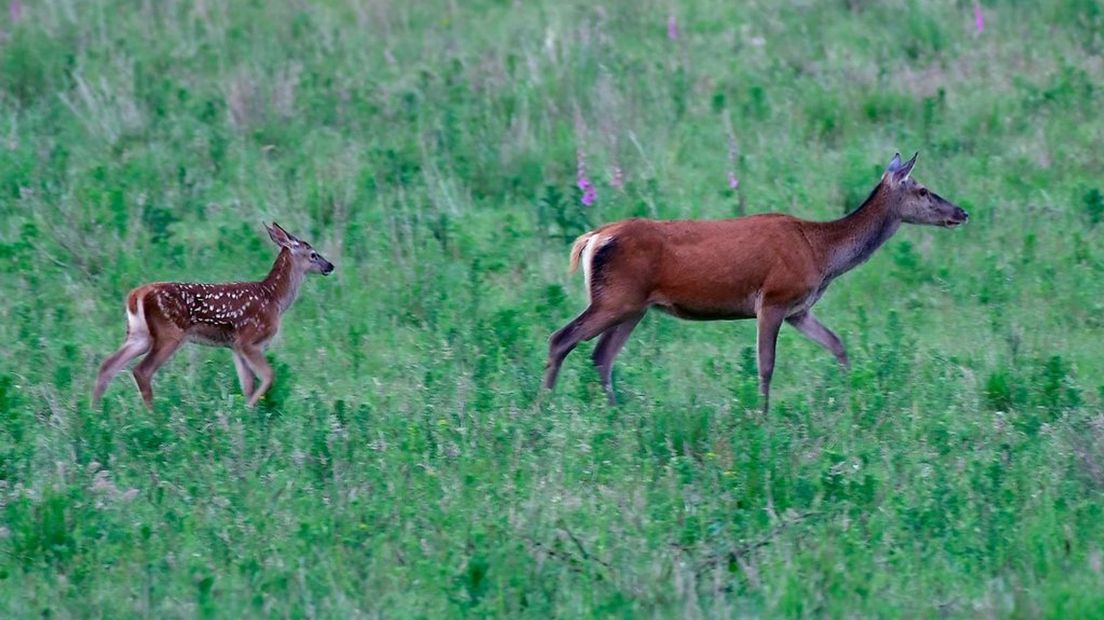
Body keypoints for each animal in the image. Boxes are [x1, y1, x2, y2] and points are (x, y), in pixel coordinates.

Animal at [92, 220, 333, 405]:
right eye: (313, 254)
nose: (330, 266)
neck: (274, 298)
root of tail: (136, 295)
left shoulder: (235, 346)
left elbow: (247, 384)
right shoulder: (249, 339)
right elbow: (268, 376)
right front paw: (251, 410)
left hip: (139, 334)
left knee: (107, 364)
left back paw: (95, 413)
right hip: (169, 333)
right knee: (142, 371)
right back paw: (153, 418)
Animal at [543, 152, 967, 408]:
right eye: (923, 189)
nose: (961, 212)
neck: (822, 252)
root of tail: (592, 238)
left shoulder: (799, 309)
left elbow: (838, 345)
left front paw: (851, 397)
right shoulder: (774, 297)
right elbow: (766, 365)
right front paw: (762, 418)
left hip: (633, 307)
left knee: (601, 356)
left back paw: (613, 415)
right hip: (615, 298)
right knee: (560, 338)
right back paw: (543, 409)